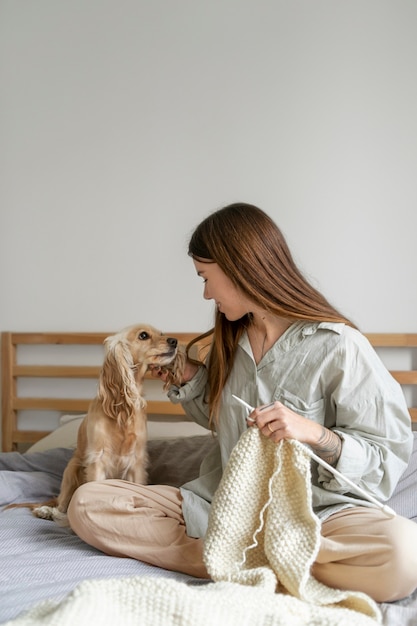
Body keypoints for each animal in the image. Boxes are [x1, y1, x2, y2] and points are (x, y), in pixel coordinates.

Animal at [26, 324, 184, 524]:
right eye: (143, 335)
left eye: (161, 334)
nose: (174, 341)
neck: (123, 409)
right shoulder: (98, 459)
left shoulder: (136, 462)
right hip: (71, 469)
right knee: (61, 505)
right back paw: (47, 511)